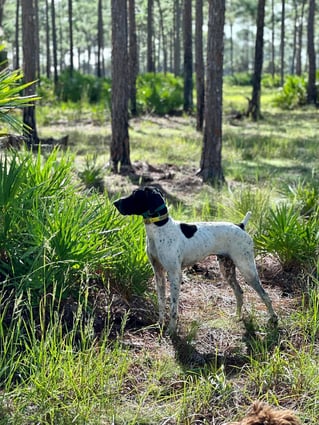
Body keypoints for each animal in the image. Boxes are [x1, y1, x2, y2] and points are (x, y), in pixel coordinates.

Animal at [114, 187, 278, 332]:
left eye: (135, 195)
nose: (115, 202)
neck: (160, 228)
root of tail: (241, 226)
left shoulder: (174, 274)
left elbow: (173, 307)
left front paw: (171, 330)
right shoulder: (158, 273)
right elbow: (161, 302)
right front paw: (159, 324)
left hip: (247, 269)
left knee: (265, 295)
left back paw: (273, 318)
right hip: (227, 270)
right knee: (239, 292)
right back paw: (237, 316)